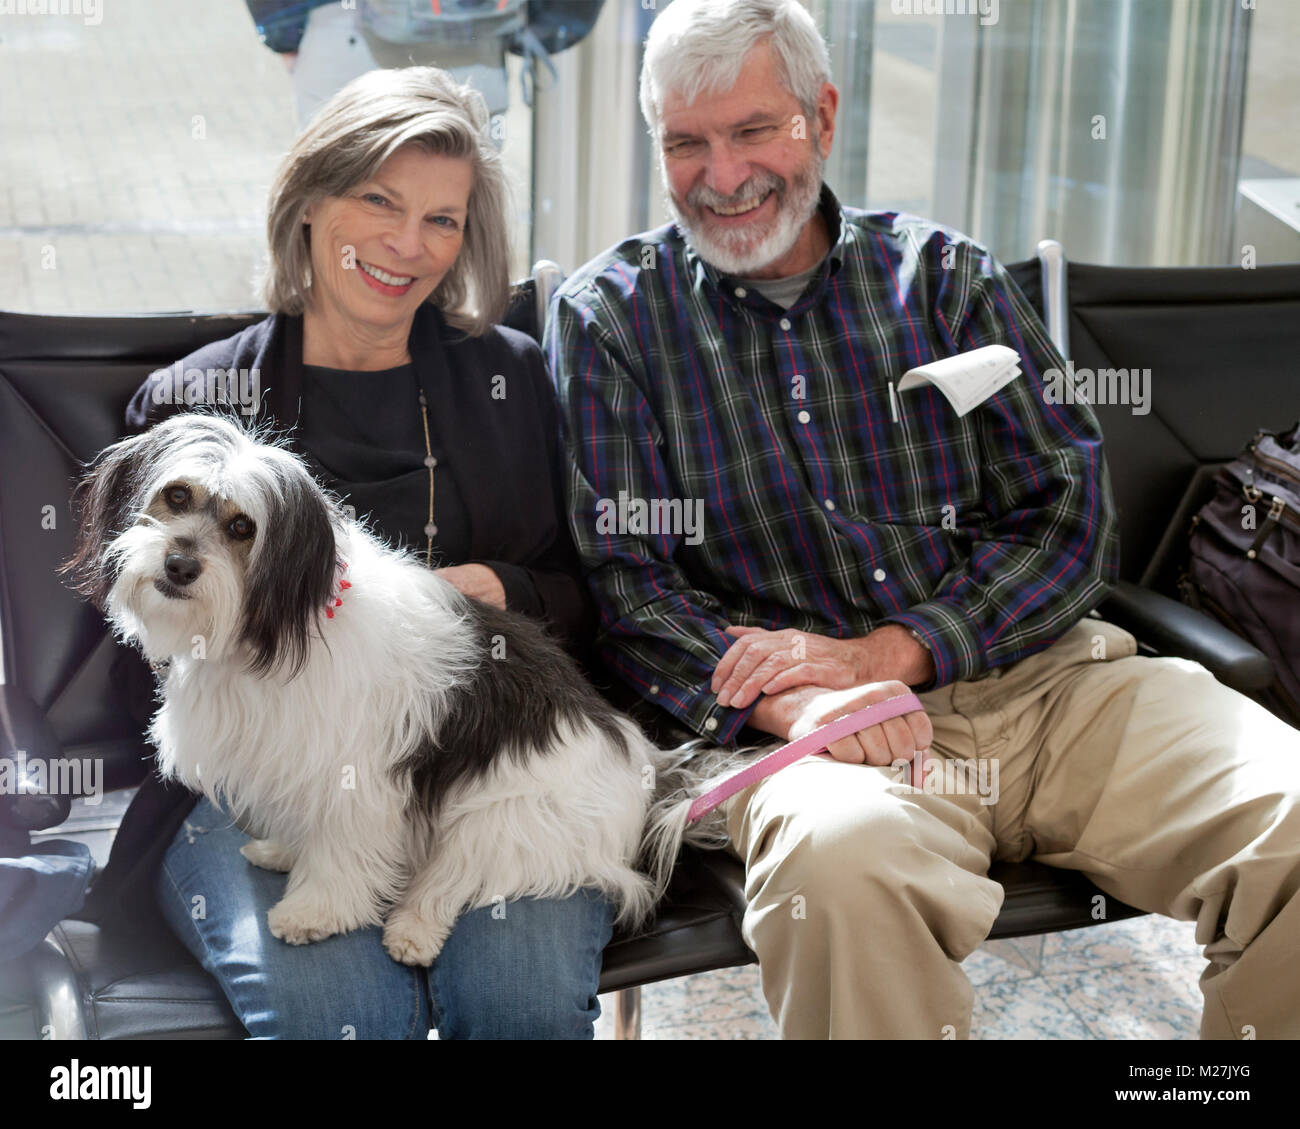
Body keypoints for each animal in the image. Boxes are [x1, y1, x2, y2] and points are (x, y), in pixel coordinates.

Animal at [63, 413, 733, 962]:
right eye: (176, 495)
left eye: (242, 527)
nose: (179, 566)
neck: (278, 624)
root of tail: (645, 769)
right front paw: (287, 852)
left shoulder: (356, 778)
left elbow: (343, 853)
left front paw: (314, 911)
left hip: (506, 816)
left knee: (457, 879)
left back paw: (412, 930)